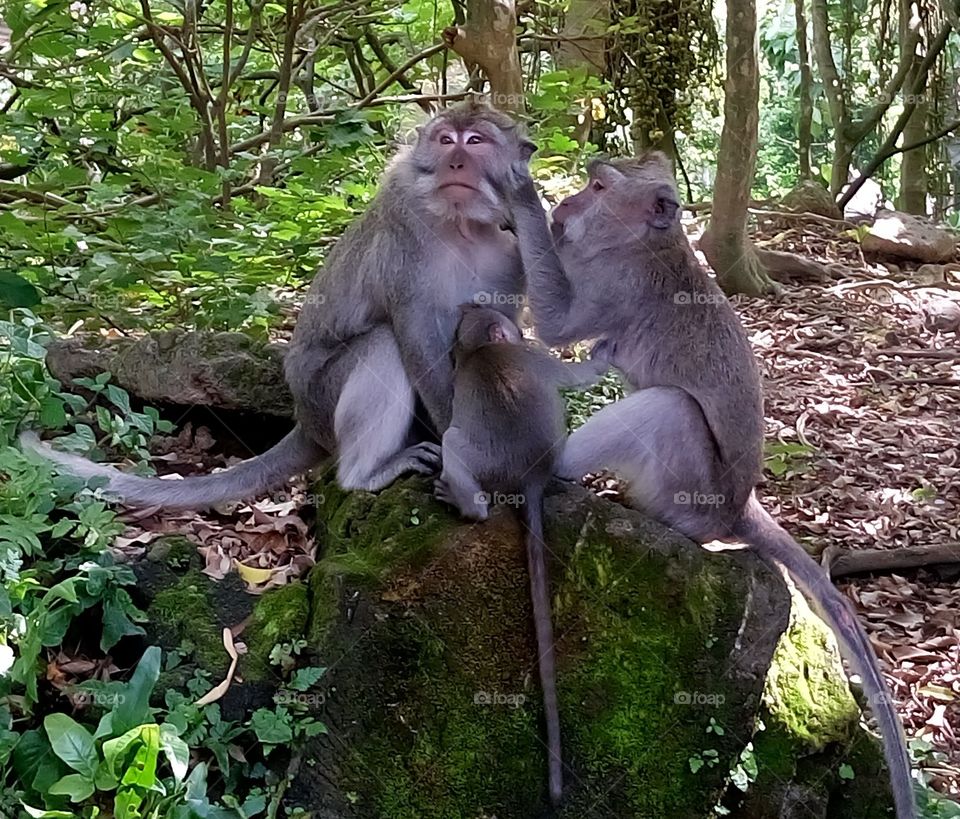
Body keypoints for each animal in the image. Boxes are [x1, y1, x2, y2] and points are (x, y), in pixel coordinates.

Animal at [24, 104, 532, 506]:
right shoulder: (405, 237)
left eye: (476, 141)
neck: (461, 226)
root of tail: (304, 419)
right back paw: (365, 475)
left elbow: (493, 337)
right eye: (446, 141)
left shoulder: (511, 255)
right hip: (323, 399)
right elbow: (416, 336)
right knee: (383, 344)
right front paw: (459, 440)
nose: (457, 162)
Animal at [436, 304, 608, 804]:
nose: (469, 303)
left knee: (452, 443)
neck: (484, 349)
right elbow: (578, 378)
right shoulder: (534, 358)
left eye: (478, 311)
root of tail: (530, 474)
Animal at [506, 154, 920, 819]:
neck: (642, 244)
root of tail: (737, 509)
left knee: (670, 408)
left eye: (598, 186)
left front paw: (522, 196)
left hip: (686, 484)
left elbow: (558, 325)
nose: (568, 202)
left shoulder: (616, 286)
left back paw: (554, 465)